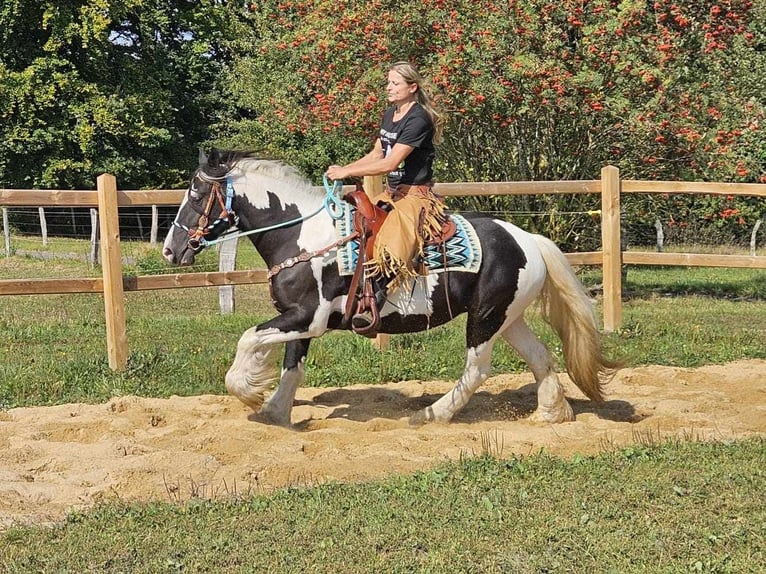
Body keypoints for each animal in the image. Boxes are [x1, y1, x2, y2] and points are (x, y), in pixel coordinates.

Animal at [165, 148, 620, 428]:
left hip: (485, 319)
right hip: (507, 317)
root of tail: (529, 240)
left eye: (196, 191)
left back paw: (432, 415)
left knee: (476, 369)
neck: (302, 236)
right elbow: (291, 367)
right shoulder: (298, 320)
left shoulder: (308, 317)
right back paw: (551, 415)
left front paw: (248, 392)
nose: (171, 250)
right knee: (541, 357)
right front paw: (273, 412)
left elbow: (249, 339)